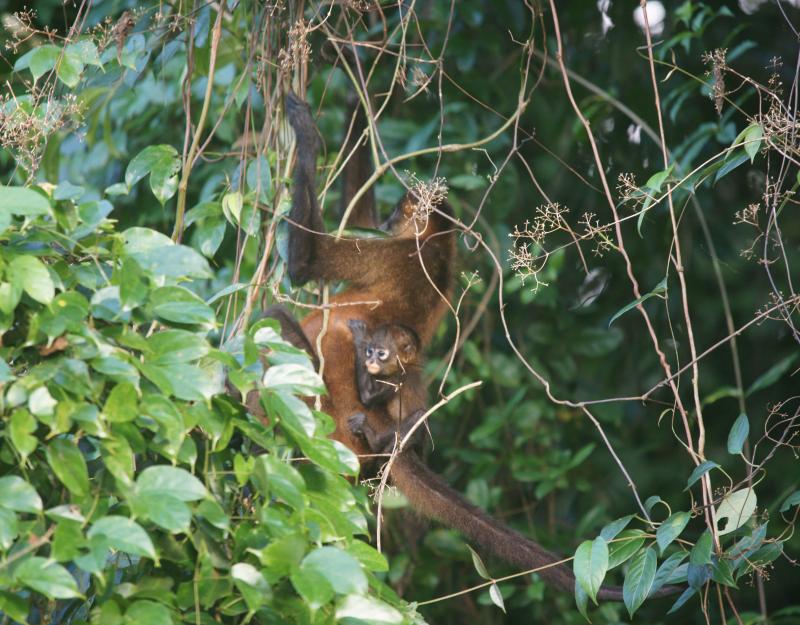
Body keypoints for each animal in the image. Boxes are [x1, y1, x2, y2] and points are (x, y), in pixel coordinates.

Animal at [270, 91, 680, 601]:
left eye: (399, 211)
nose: (389, 218)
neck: (438, 249)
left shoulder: (396, 253)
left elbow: (306, 262)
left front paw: (305, 128)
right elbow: (355, 216)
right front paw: (354, 92)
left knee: (276, 324)